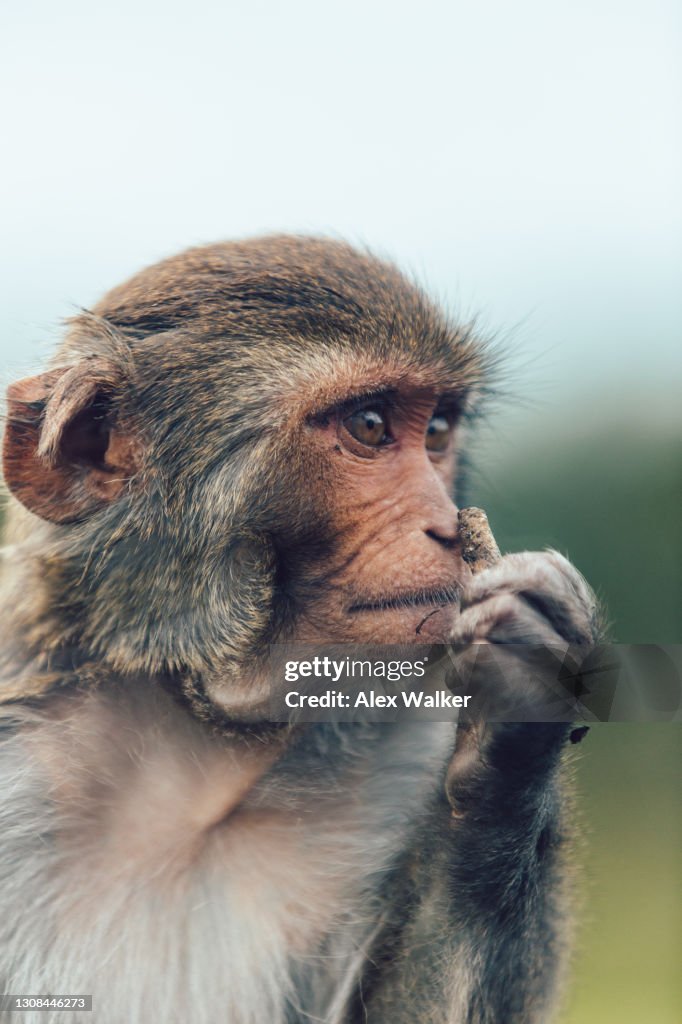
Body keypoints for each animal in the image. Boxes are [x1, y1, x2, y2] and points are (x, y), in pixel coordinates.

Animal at [0, 234, 593, 1024]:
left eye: (436, 430)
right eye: (370, 426)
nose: (446, 526)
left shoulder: (405, 749)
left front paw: (516, 726)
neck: (204, 764)